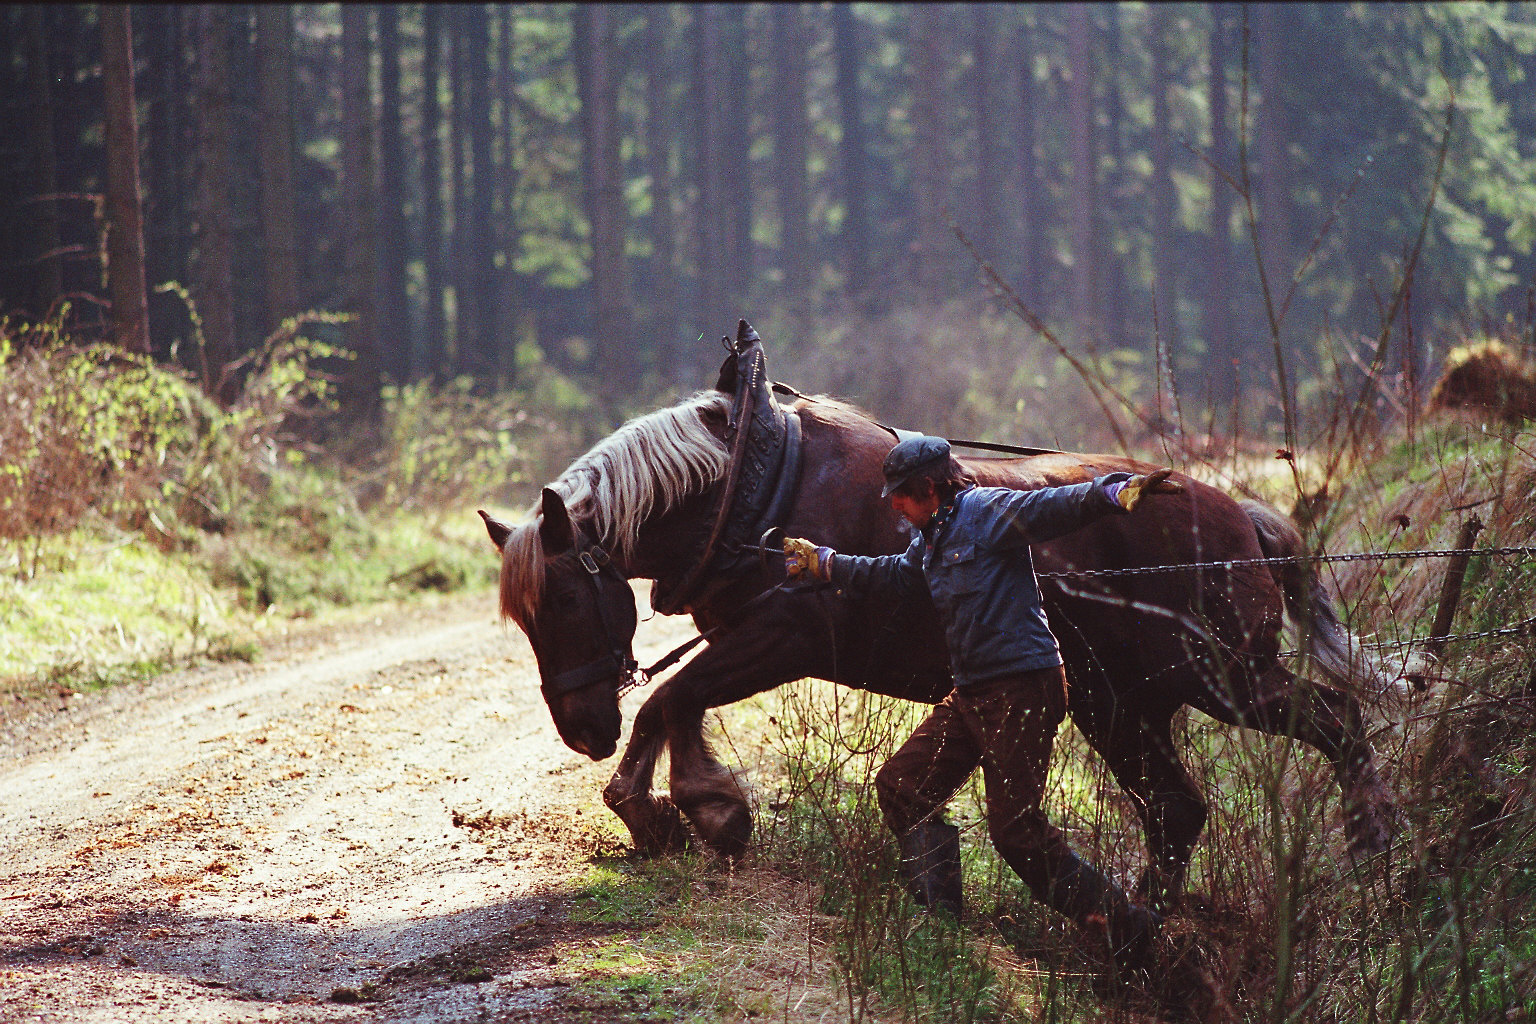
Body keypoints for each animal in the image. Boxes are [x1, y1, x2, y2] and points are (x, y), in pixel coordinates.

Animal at [485, 388, 1406, 908]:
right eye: (525, 618)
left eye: (564, 596)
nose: (580, 728)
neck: (755, 490)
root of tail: (1243, 518)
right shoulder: (747, 638)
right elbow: (673, 706)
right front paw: (689, 811)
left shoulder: (782, 634)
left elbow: (670, 698)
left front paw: (684, 809)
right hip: (1121, 704)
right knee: (1176, 808)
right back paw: (1151, 914)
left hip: (1220, 677)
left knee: (1333, 717)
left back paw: (1372, 831)